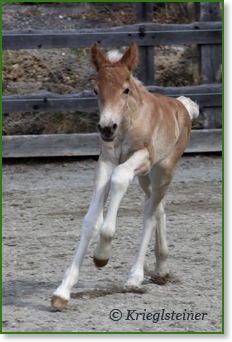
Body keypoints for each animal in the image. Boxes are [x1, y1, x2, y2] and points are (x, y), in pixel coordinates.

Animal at [51, 42, 198, 310]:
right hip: (146, 178)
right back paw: (161, 267)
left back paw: (135, 277)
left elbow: (119, 179)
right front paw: (63, 291)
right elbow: (91, 220)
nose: (107, 128)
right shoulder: (106, 162)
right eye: (95, 90)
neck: (128, 122)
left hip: (163, 170)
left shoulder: (141, 158)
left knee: (150, 214)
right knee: (157, 207)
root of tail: (183, 106)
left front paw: (102, 255)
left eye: (126, 90)